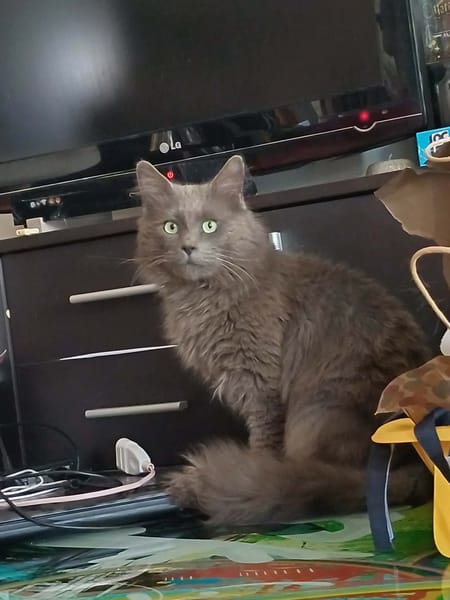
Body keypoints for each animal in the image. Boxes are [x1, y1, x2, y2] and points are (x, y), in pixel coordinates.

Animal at [135, 155, 432, 527]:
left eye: (209, 226)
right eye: (170, 227)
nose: (188, 247)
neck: (203, 297)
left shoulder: (260, 385)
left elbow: (263, 442)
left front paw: (251, 470)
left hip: (314, 414)